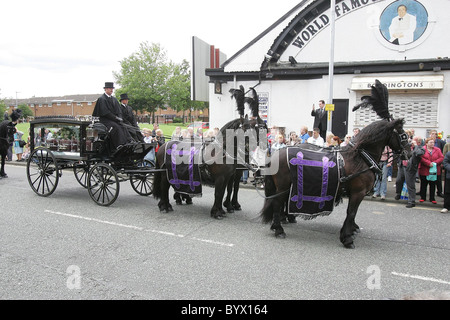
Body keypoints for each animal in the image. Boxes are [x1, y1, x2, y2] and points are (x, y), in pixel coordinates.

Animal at [258, 79, 410, 248]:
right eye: (403, 134)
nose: (408, 153)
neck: (361, 157)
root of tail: (276, 154)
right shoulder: (358, 192)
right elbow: (351, 213)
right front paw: (347, 237)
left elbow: (352, 214)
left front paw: (350, 231)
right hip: (283, 186)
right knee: (277, 203)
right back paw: (278, 228)